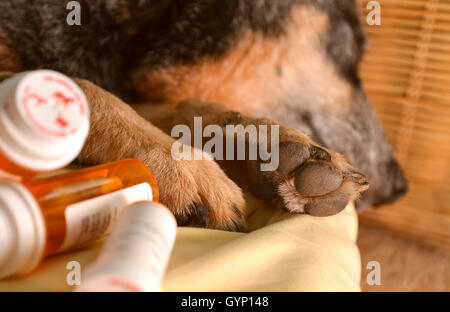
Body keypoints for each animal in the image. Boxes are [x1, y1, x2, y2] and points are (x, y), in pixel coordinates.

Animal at [0, 0, 408, 229]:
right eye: (354, 42)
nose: (401, 186)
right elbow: (85, 89)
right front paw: (176, 164)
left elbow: (187, 107)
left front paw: (265, 139)